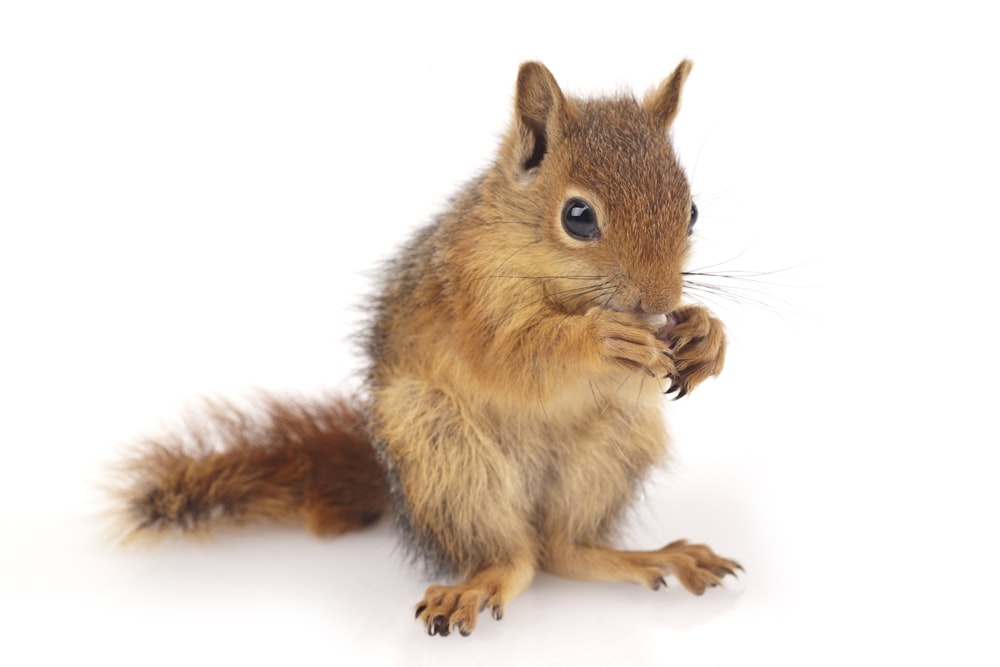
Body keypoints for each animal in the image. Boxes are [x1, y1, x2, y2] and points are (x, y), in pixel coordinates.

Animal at [119, 61, 744, 636]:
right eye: (578, 216)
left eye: (691, 211)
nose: (659, 298)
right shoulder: (469, 293)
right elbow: (516, 355)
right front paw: (602, 337)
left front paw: (704, 334)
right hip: (442, 448)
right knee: (517, 557)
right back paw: (479, 584)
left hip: (613, 443)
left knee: (562, 549)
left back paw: (649, 556)